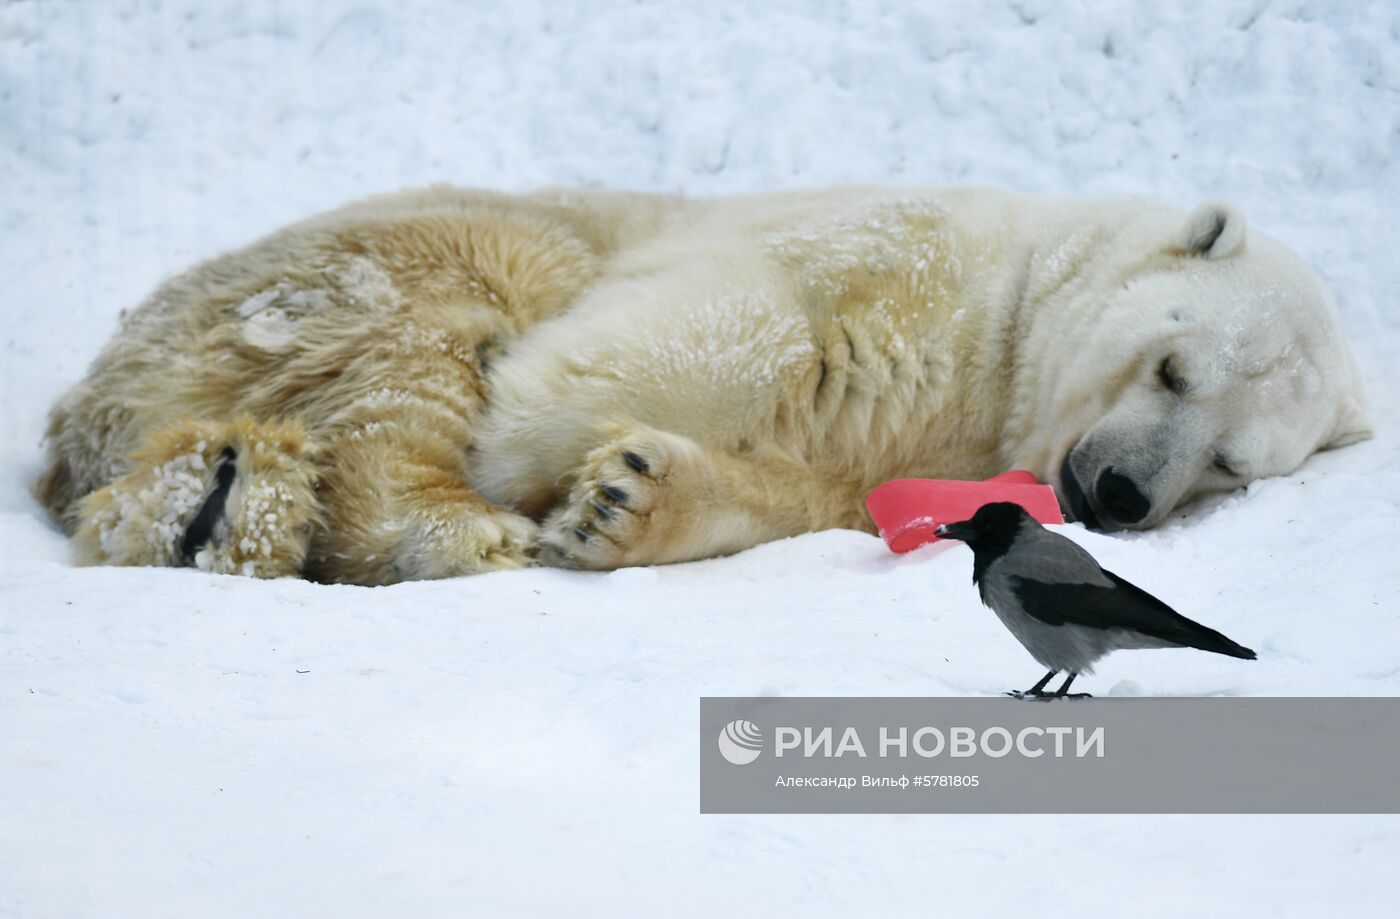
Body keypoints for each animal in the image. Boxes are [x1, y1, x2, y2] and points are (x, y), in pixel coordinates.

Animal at [38, 186, 1372, 585]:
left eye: (1231, 462)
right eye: (1171, 364)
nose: (1116, 494)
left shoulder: (922, 446)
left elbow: (817, 488)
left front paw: (622, 497)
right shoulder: (905, 253)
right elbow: (750, 312)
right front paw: (533, 437)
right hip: (369, 265)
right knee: (435, 331)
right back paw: (453, 522)